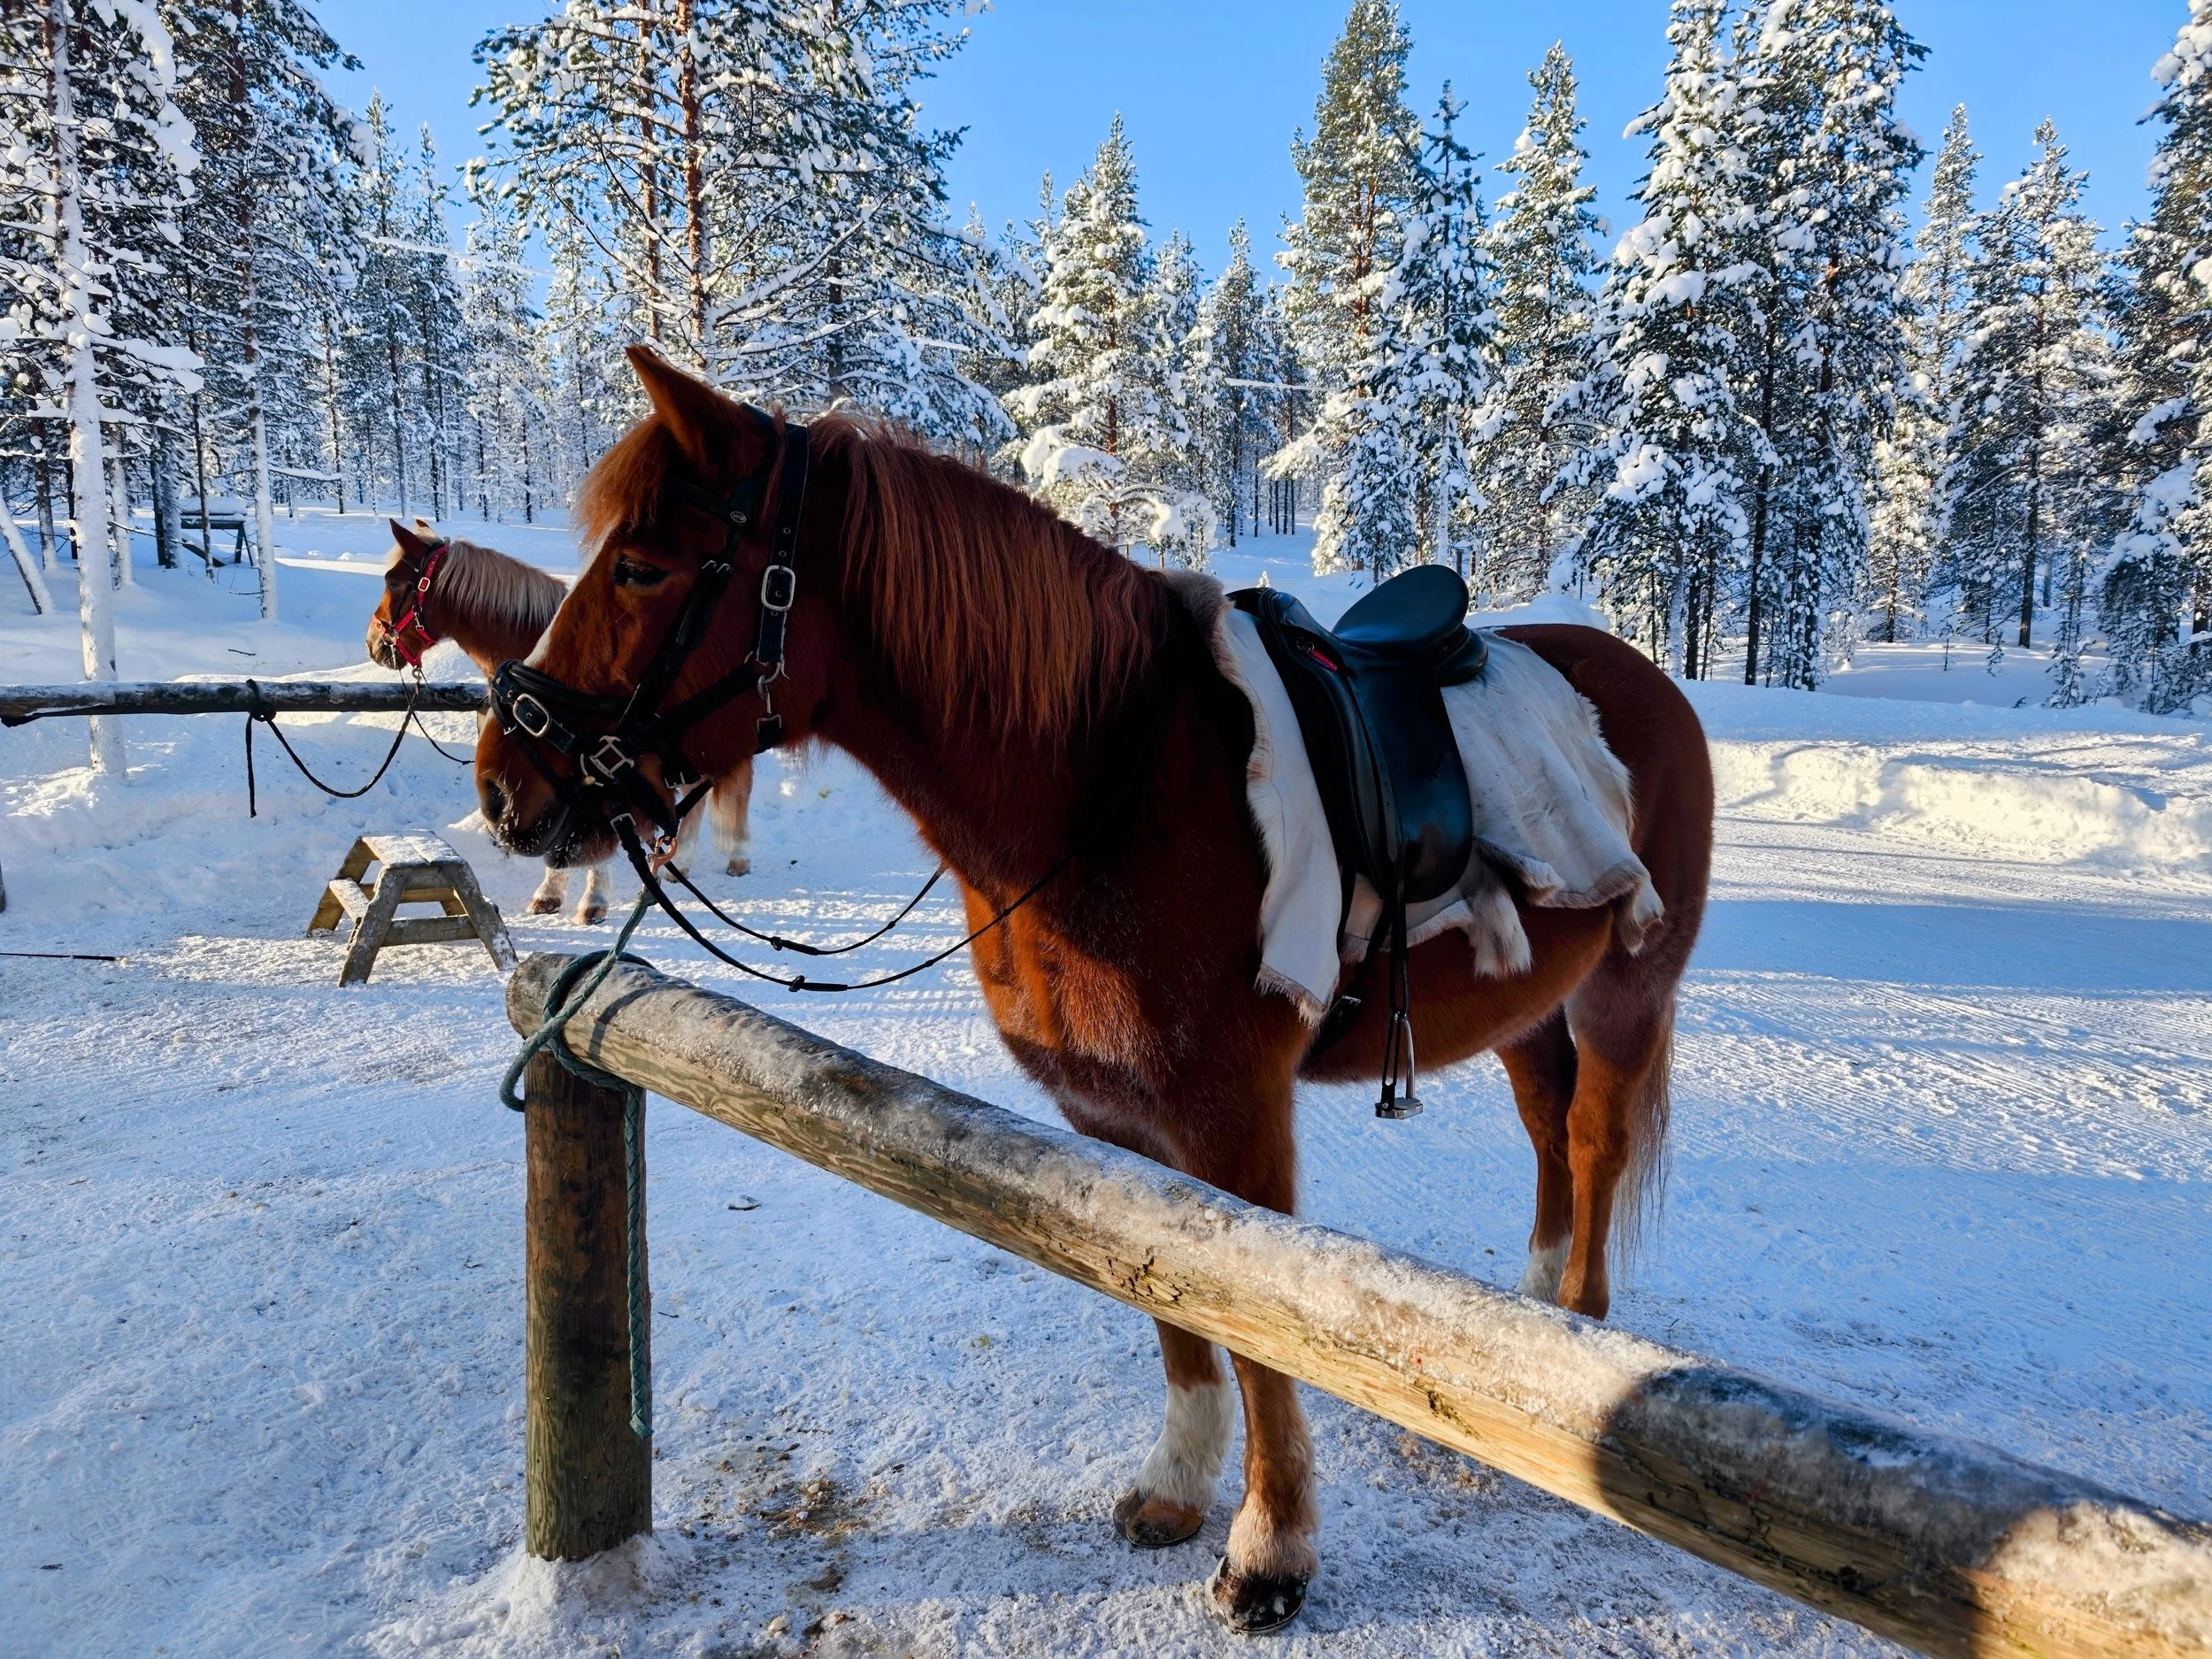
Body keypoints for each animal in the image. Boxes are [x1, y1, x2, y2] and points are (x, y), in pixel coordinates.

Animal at [473, 349, 1714, 1635]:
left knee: (1594, 1135)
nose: (504, 786)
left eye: (641, 565)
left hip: (1625, 992)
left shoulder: (1234, 1118)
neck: (1106, 781)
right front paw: (1176, 1485)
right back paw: (1532, 1319)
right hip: (1527, 1000)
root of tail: (1645, 675)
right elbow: (1171, 1303)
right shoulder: (1118, 1122)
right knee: (1547, 1127)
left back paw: (1577, 1321)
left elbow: (1253, 1331)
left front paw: (1271, 1550)